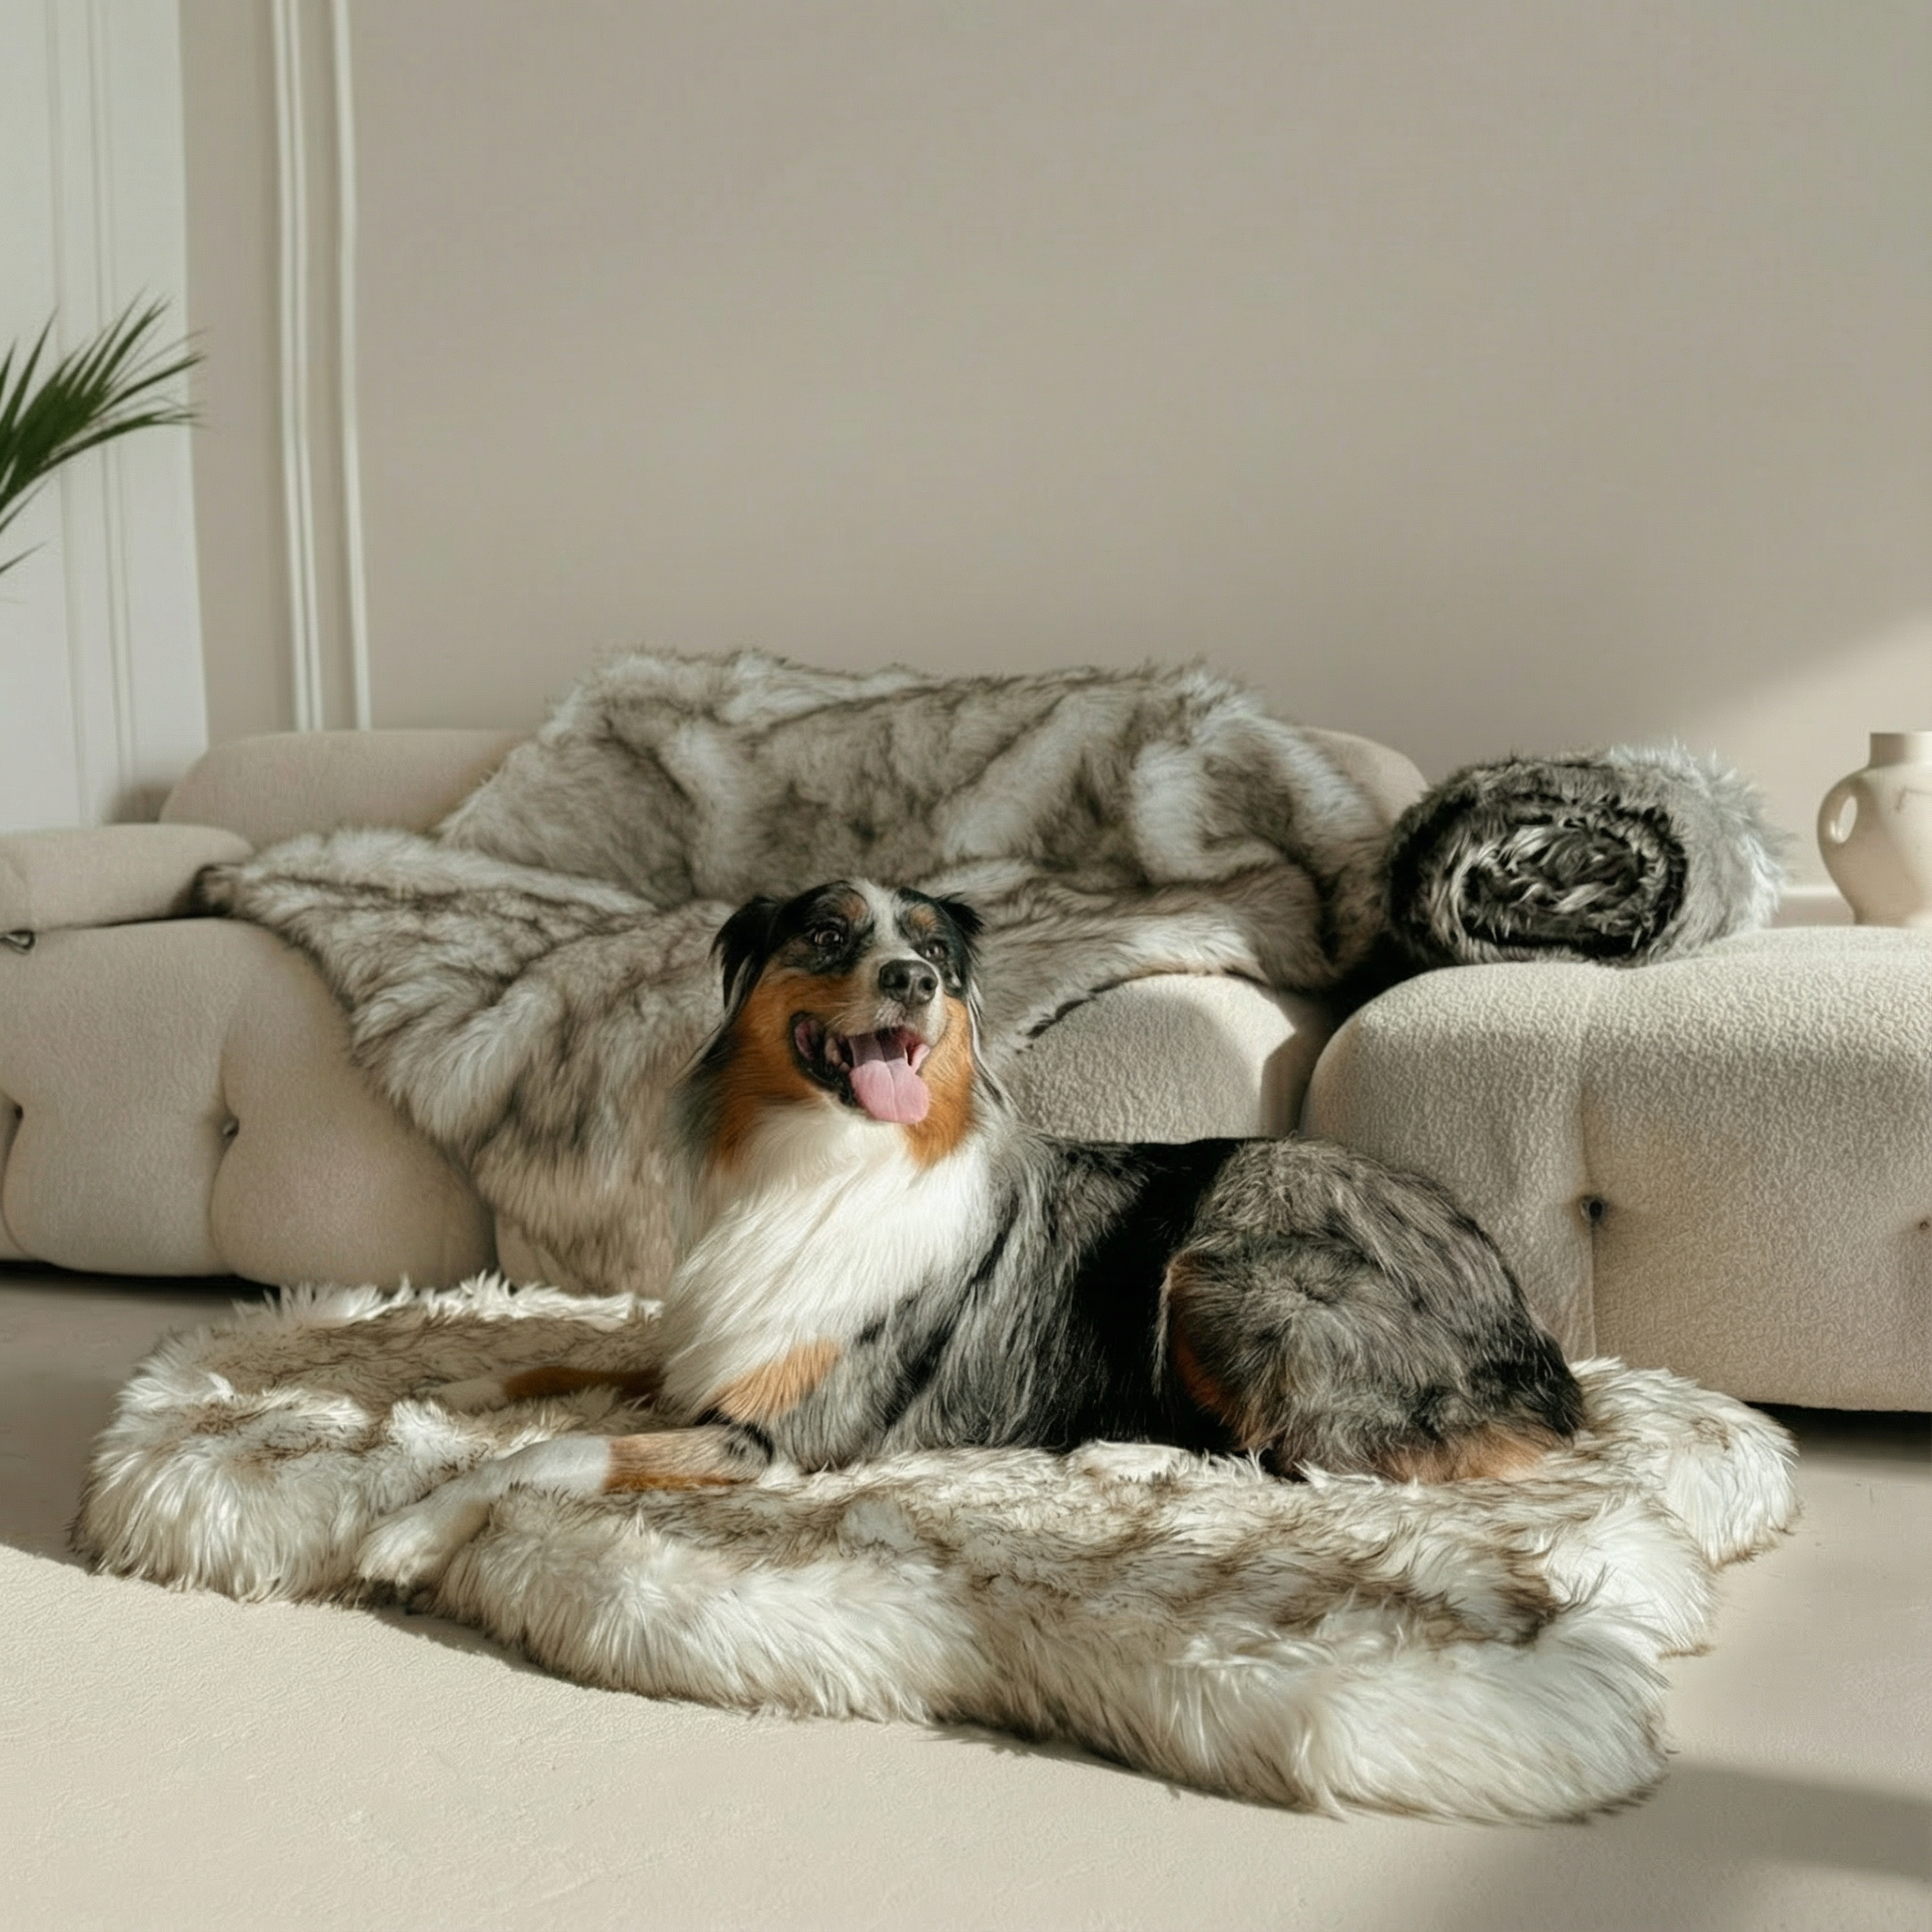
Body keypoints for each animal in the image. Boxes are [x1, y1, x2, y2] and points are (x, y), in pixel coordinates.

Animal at [357, 878, 1583, 1587]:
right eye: (826, 931)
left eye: (936, 959)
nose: (910, 980)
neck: (824, 1156)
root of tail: (1531, 1335)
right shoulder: (713, 1344)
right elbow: (570, 1360)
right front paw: (445, 1382)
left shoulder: (781, 1436)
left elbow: (551, 1448)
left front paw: (412, 1528)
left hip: (1225, 1262)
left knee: (1316, 1461)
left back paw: (1123, 1448)